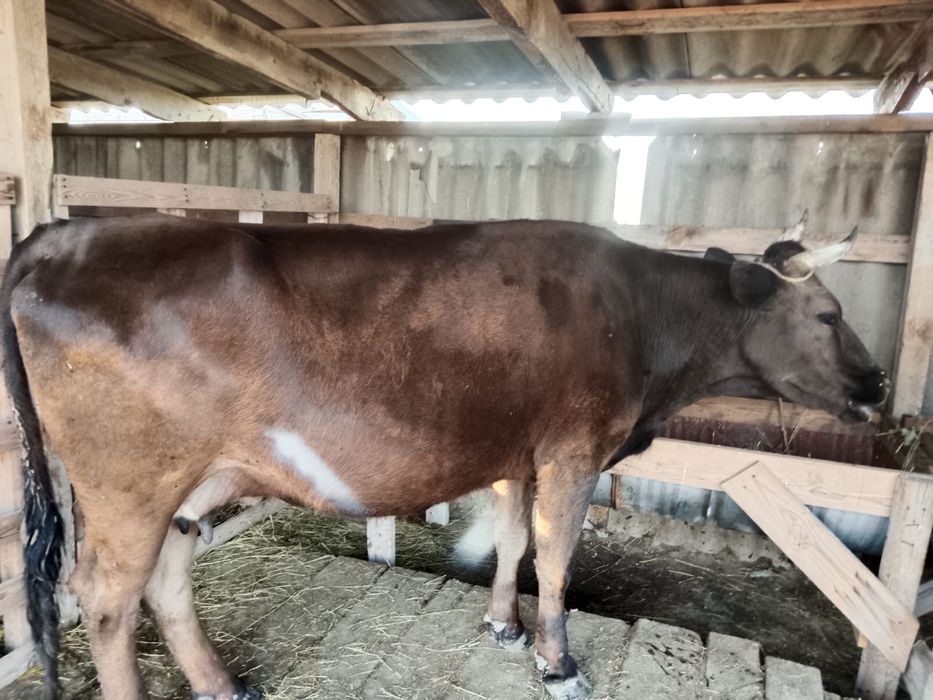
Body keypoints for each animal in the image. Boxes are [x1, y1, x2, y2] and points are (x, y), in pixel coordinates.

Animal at [1, 214, 887, 700]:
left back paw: (224, 685)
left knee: (165, 583)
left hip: (189, 483)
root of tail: (65, 233)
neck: (639, 316)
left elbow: (515, 541)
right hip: (127, 484)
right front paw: (557, 663)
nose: (878, 384)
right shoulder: (574, 451)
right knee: (107, 599)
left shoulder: (516, 452)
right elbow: (557, 559)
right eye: (826, 313)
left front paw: (502, 625)